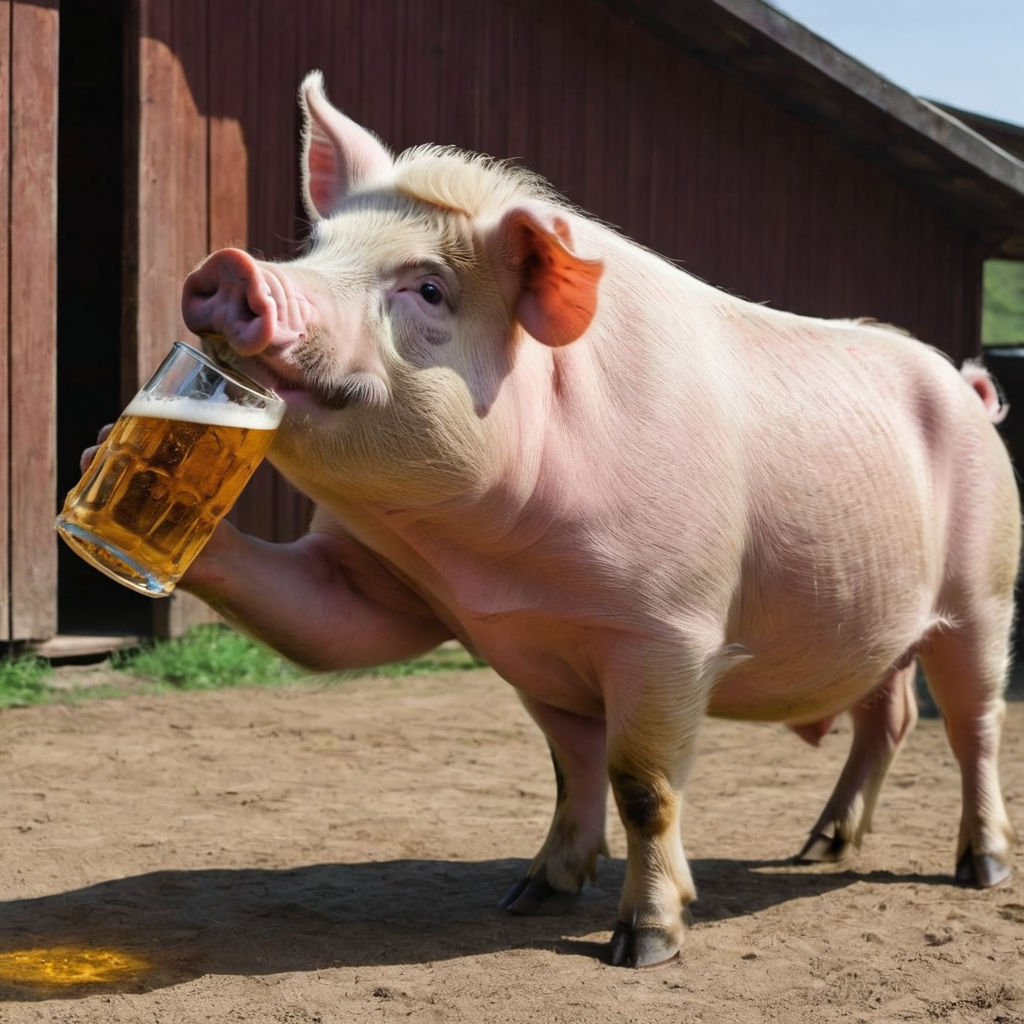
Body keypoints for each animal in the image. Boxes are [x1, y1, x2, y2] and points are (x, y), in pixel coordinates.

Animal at [172, 74, 1019, 966]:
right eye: (314, 247)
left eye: (430, 289)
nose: (233, 267)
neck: (491, 568)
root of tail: (967, 388)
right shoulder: (462, 617)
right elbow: (560, 764)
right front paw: (529, 897)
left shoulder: (670, 630)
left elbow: (643, 787)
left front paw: (642, 944)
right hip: (876, 620)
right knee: (887, 718)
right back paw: (818, 848)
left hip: (983, 595)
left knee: (975, 724)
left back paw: (981, 868)